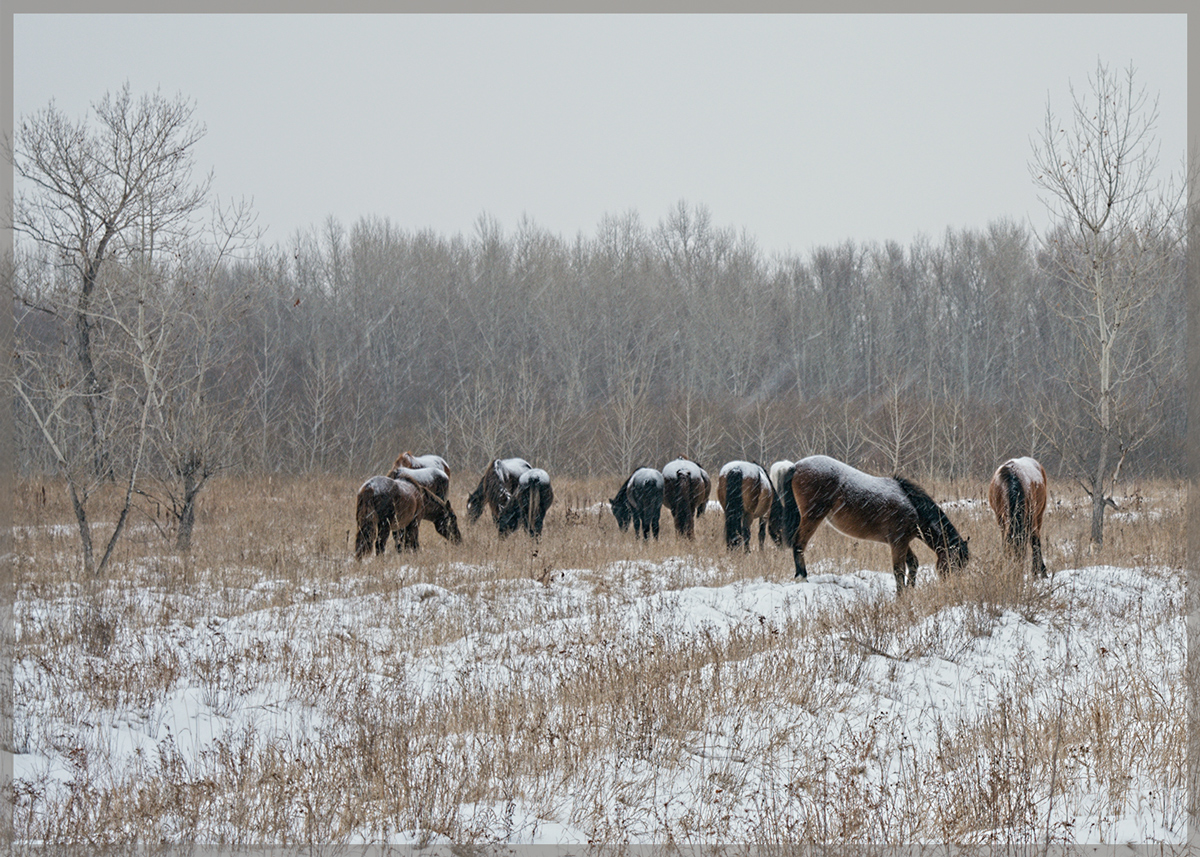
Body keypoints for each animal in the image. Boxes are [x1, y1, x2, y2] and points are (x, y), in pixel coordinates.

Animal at [786, 455, 969, 590]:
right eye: (955, 563)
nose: (953, 587)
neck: (913, 506)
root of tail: (796, 466)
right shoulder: (898, 543)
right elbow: (899, 570)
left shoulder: (903, 542)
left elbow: (913, 564)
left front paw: (909, 591)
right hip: (812, 517)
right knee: (799, 543)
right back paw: (802, 577)